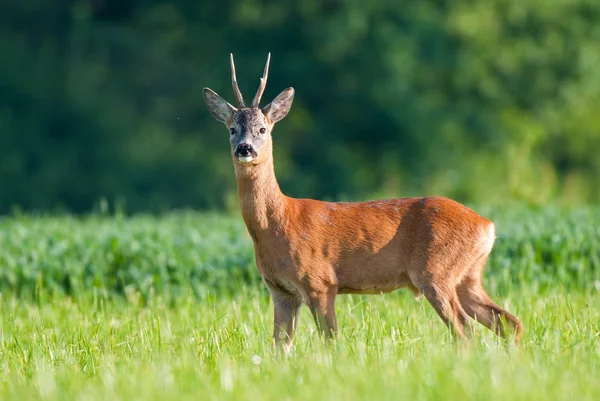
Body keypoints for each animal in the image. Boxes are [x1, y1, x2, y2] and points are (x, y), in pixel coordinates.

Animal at [202, 53, 520, 350]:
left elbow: (330, 340)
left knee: (465, 330)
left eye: (263, 129)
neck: (278, 223)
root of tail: (487, 225)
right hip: (468, 276)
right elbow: (280, 348)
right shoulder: (281, 291)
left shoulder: (320, 282)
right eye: (232, 129)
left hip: (436, 271)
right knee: (508, 322)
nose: (245, 149)